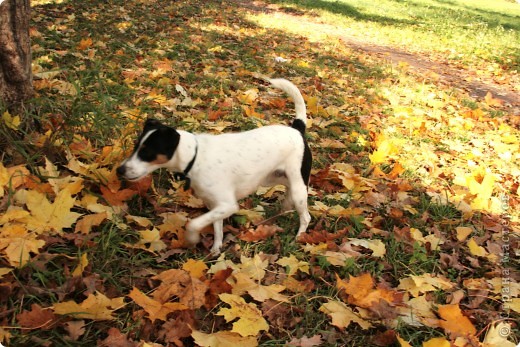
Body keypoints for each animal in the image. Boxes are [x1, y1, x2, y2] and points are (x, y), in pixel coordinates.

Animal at [117, 80, 312, 256]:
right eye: (135, 147)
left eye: (147, 152)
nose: (120, 170)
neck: (195, 156)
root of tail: (297, 129)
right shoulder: (215, 205)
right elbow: (217, 227)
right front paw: (216, 248)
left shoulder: (227, 204)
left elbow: (194, 223)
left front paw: (192, 239)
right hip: (272, 178)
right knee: (287, 195)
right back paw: (283, 210)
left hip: (298, 186)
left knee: (305, 215)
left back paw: (299, 237)